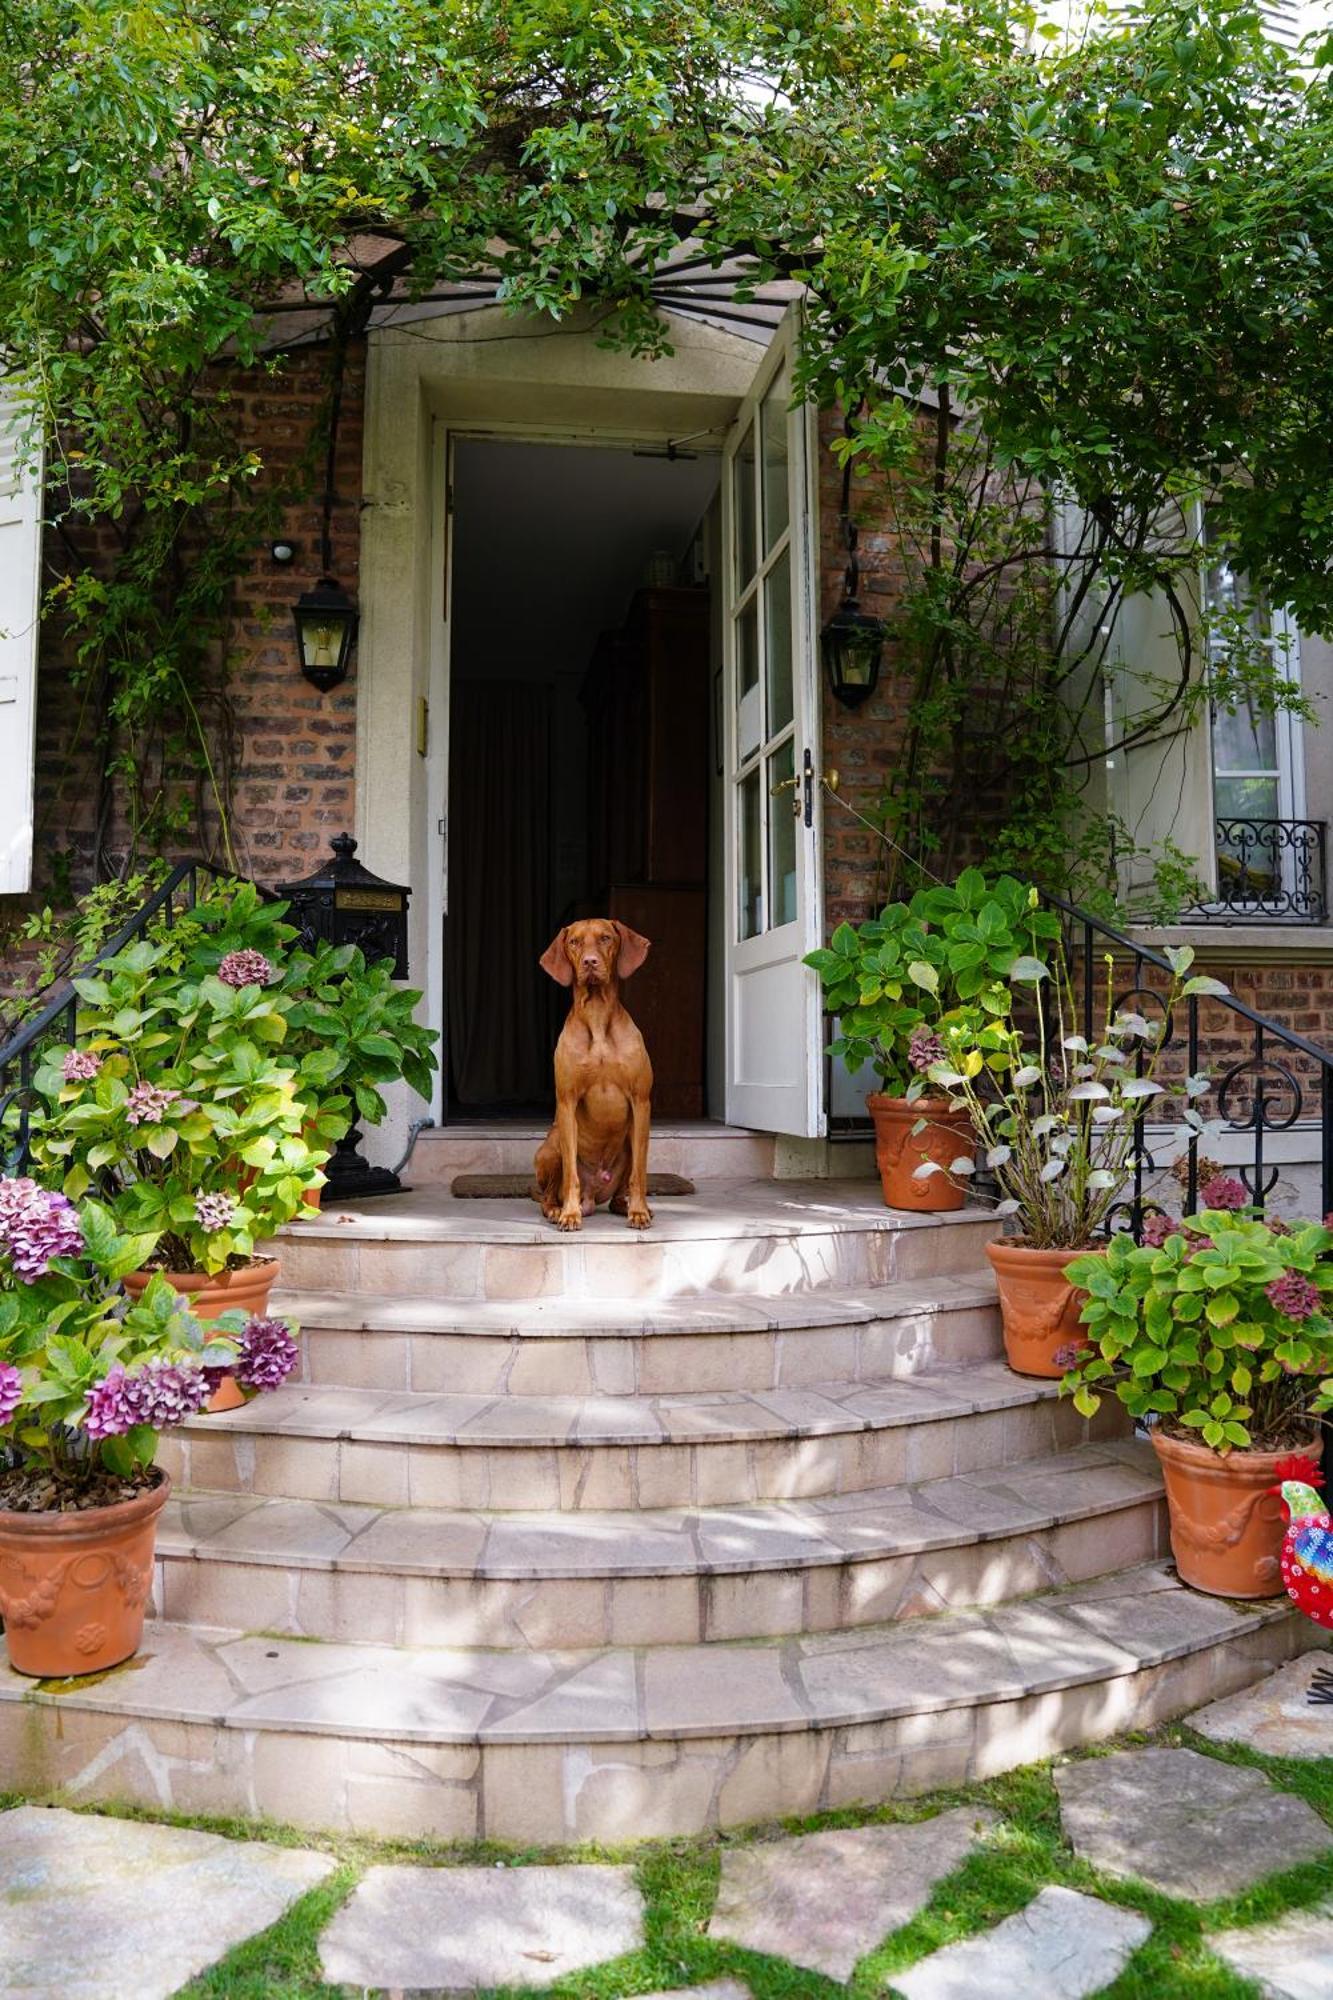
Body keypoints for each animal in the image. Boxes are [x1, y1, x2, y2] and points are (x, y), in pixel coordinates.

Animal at [532, 924, 652, 1232]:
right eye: (574, 942)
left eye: (606, 938)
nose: (589, 962)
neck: (597, 1016)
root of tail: (594, 1193)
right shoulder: (567, 1102)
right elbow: (571, 1176)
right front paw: (569, 1214)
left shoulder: (641, 1102)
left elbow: (639, 1174)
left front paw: (639, 1211)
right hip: (551, 1146)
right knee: (547, 1195)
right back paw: (557, 1210)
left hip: (630, 1143)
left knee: (619, 1192)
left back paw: (627, 1206)